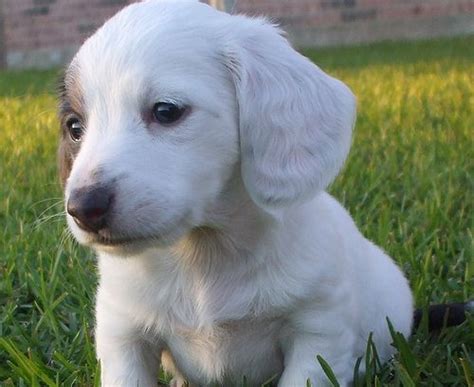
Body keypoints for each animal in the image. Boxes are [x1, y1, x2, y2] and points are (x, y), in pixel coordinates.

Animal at [59, 1, 412, 386]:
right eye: (75, 126)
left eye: (166, 110)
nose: (83, 208)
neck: (201, 258)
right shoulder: (124, 333)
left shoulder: (318, 331)